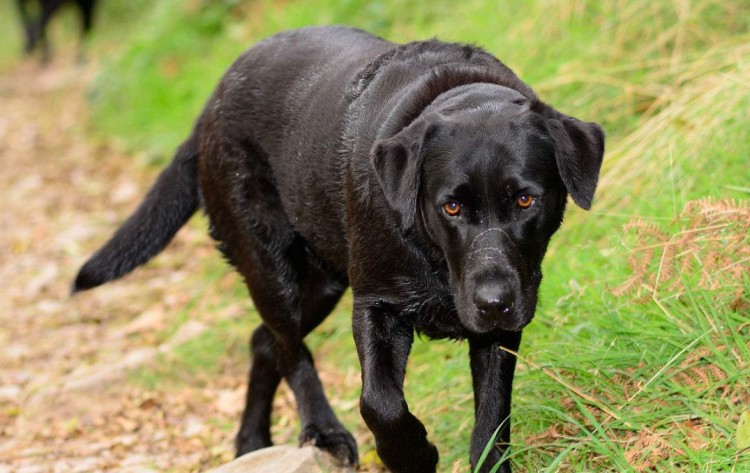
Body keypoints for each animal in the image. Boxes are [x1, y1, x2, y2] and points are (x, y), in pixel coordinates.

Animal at [73, 26, 604, 472]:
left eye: (525, 200)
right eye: (450, 206)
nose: (493, 302)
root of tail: (212, 101)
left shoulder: (501, 323)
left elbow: (492, 415)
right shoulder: (374, 305)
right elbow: (380, 403)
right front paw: (412, 454)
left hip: (323, 280)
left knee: (262, 340)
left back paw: (251, 442)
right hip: (273, 269)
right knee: (289, 350)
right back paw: (323, 432)